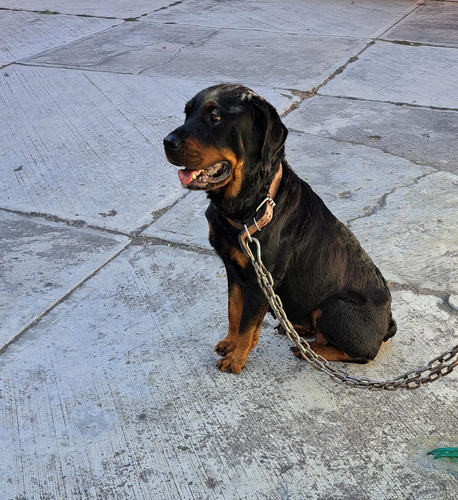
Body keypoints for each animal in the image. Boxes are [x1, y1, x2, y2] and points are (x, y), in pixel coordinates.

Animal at [165, 84, 398, 374]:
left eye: (215, 117)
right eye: (187, 113)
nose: (167, 142)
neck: (248, 209)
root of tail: (388, 324)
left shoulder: (260, 279)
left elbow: (246, 324)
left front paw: (236, 359)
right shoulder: (234, 269)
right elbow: (234, 310)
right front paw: (231, 343)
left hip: (333, 308)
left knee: (361, 353)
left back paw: (311, 350)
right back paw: (298, 330)